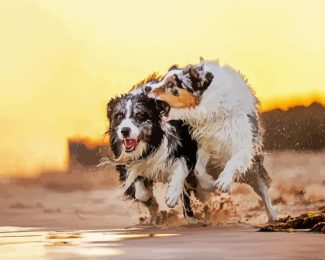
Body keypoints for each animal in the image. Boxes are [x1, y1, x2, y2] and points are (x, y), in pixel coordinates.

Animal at [106, 92, 197, 222]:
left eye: (139, 115)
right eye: (119, 116)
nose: (124, 131)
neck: (151, 145)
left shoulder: (184, 151)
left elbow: (180, 171)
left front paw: (172, 196)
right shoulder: (128, 161)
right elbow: (139, 190)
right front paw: (150, 200)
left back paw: (191, 218)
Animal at [147, 59, 276, 223]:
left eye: (171, 84)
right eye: (163, 79)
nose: (146, 87)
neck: (210, 106)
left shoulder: (244, 142)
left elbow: (234, 160)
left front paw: (223, 181)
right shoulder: (206, 143)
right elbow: (198, 169)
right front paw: (208, 183)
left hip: (253, 167)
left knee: (262, 186)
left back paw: (273, 215)